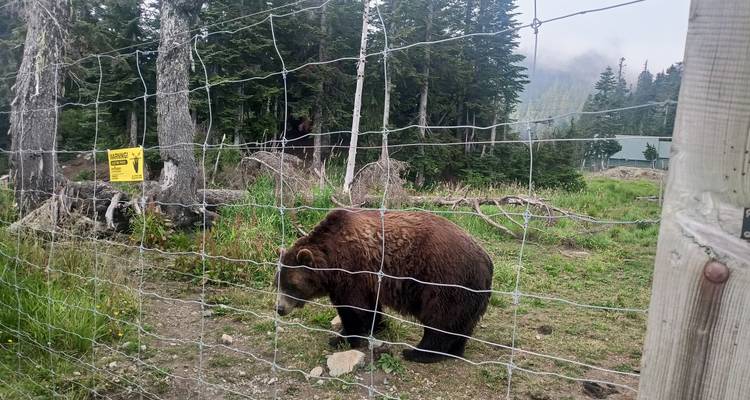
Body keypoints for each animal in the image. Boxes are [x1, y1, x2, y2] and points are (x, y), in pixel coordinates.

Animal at [275, 208, 493, 363]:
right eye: (277, 282)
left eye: (291, 285)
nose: (279, 308)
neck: (331, 259)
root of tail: (486, 260)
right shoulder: (367, 279)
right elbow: (370, 306)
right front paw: (376, 326)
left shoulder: (352, 271)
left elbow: (353, 308)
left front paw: (342, 337)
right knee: (461, 324)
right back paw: (455, 350)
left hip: (447, 281)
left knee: (441, 320)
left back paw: (417, 352)